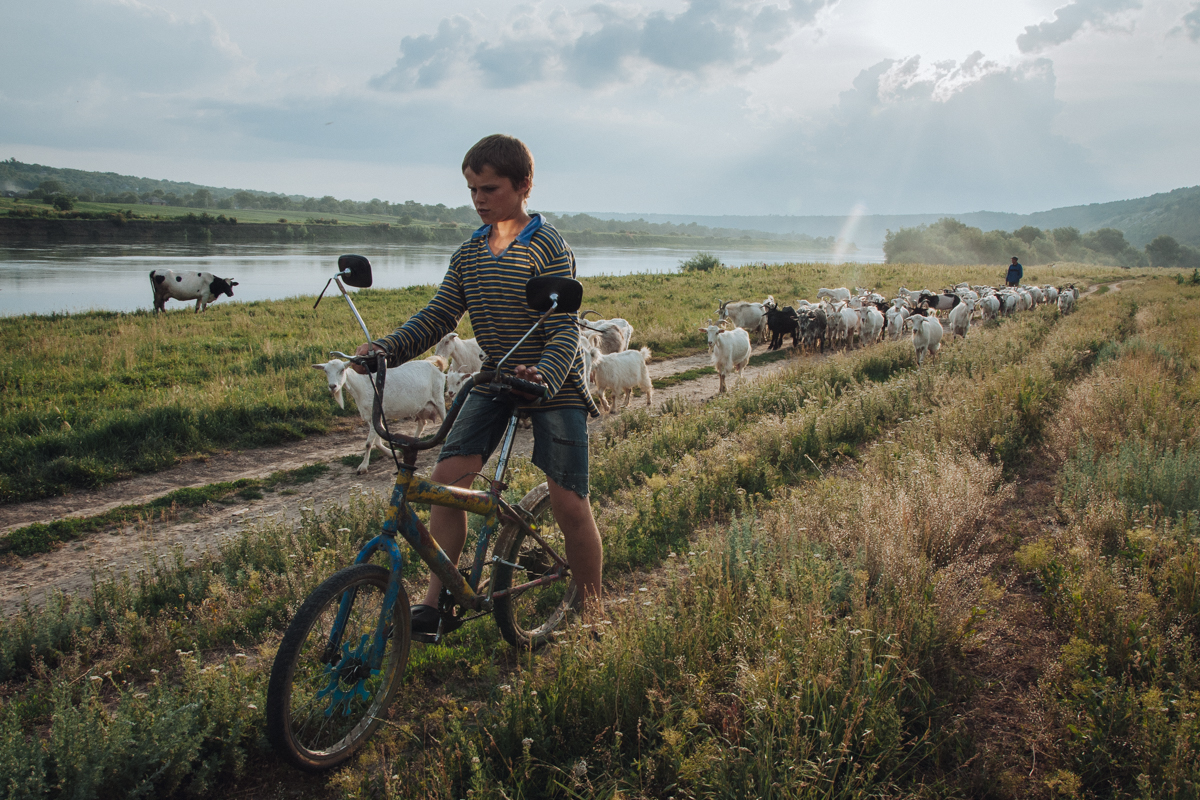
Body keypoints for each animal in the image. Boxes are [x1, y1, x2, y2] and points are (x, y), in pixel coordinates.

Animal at [314, 357, 446, 474]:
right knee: (422, 423)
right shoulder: (372, 416)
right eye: (325, 371)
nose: (332, 386)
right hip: (419, 406)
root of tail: (436, 367)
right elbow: (376, 441)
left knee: (444, 419)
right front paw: (394, 453)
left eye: (342, 370)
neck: (361, 385)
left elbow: (368, 444)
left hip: (438, 398)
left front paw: (363, 467)